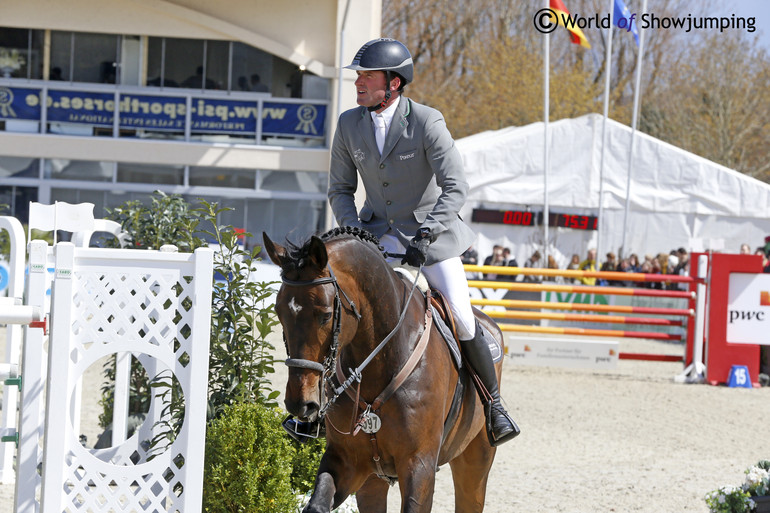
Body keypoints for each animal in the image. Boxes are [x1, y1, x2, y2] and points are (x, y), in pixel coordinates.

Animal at [260, 228, 508, 512]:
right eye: (279, 312)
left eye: (325, 315)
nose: (300, 404)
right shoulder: (346, 461)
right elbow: (316, 504)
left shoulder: (419, 464)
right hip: (373, 480)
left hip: (475, 462)